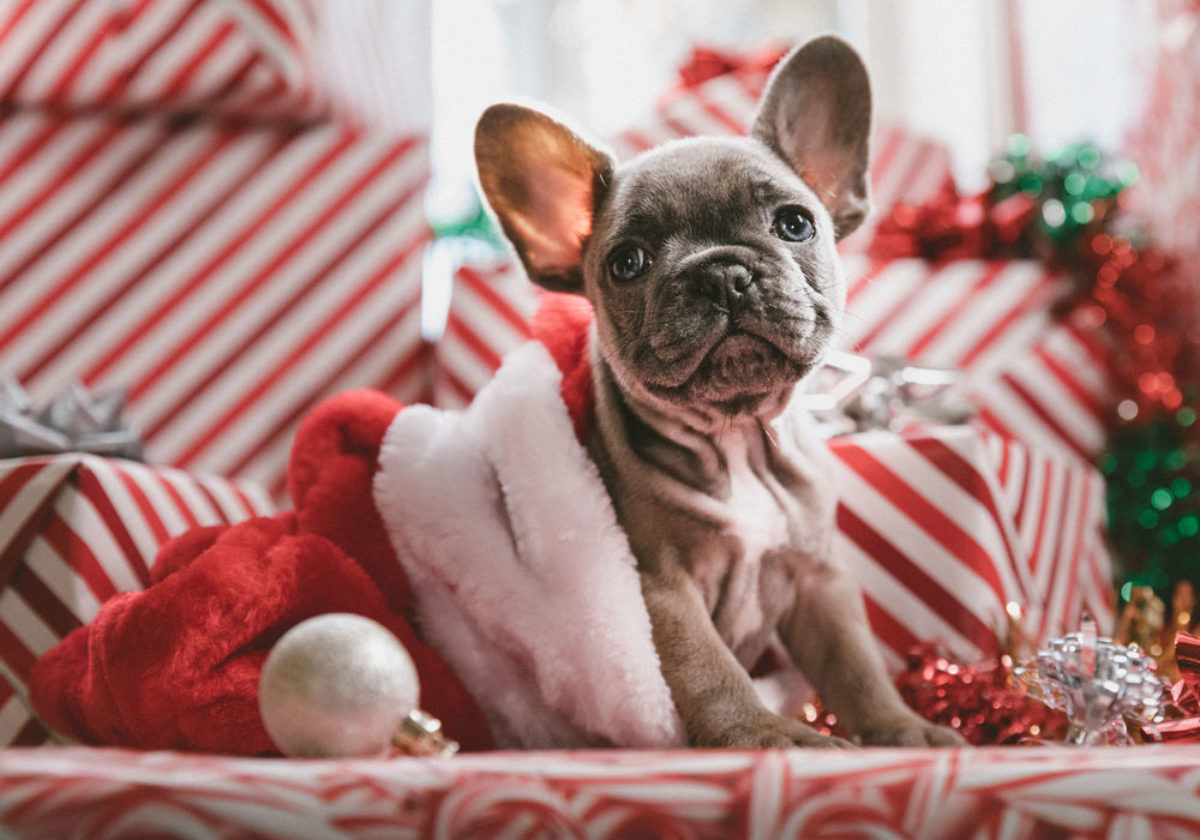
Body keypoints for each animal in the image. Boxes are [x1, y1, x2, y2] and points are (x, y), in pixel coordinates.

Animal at [472, 36, 960, 753]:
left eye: (795, 224)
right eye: (627, 263)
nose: (721, 273)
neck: (738, 439)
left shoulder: (818, 579)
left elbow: (856, 664)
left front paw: (901, 729)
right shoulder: (662, 591)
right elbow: (710, 671)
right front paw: (768, 734)